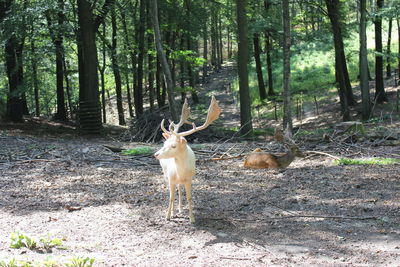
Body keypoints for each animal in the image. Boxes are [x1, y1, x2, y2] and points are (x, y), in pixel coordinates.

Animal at [154, 96, 222, 224]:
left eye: (174, 146)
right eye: (165, 143)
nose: (156, 154)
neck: (181, 173)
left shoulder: (189, 179)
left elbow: (189, 198)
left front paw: (192, 218)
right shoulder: (171, 179)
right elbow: (171, 197)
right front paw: (168, 216)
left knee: (180, 189)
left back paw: (180, 209)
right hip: (165, 174)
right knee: (174, 191)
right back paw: (174, 211)